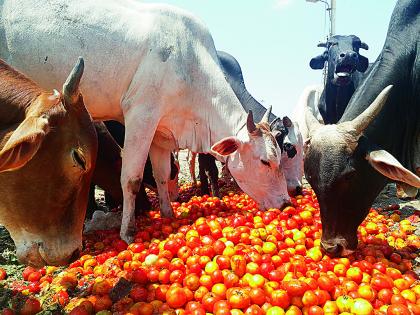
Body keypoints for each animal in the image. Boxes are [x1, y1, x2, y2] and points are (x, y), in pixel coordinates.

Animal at [0, 0, 288, 243]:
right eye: (265, 161)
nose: (286, 203)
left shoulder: (161, 131)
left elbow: (161, 175)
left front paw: (168, 214)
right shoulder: (141, 115)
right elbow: (131, 178)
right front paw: (127, 232)